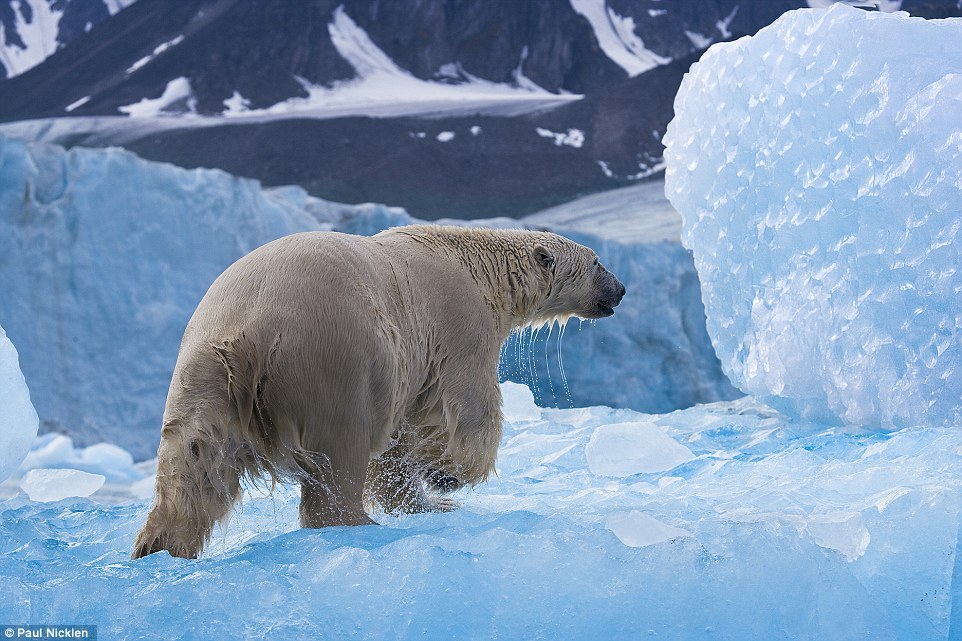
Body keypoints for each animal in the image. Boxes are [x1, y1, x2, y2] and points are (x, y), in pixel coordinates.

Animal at [133, 225, 624, 556]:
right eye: (597, 261)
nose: (620, 289)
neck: (478, 265)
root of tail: (251, 336)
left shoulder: (408, 365)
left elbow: (398, 445)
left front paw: (429, 498)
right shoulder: (459, 326)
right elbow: (466, 405)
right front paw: (448, 476)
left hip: (203, 371)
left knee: (194, 462)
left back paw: (160, 544)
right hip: (335, 364)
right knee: (340, 455)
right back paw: (356, 522)